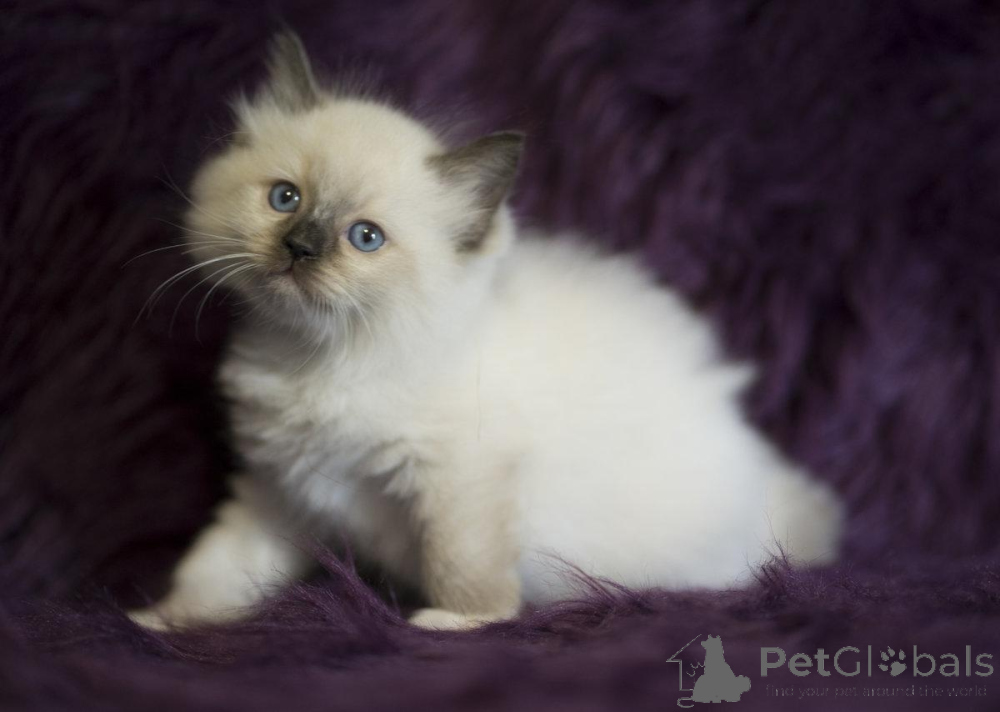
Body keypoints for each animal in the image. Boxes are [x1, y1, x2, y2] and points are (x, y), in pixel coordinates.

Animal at [130, 32, 843, 631]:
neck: (318, 358)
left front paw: (457, 624)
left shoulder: (459, 476)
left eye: (365, 238)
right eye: (285, 198)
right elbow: (220, 566)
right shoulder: (280, 493)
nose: (301, 248)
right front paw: (162, 621)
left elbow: (463, 565)